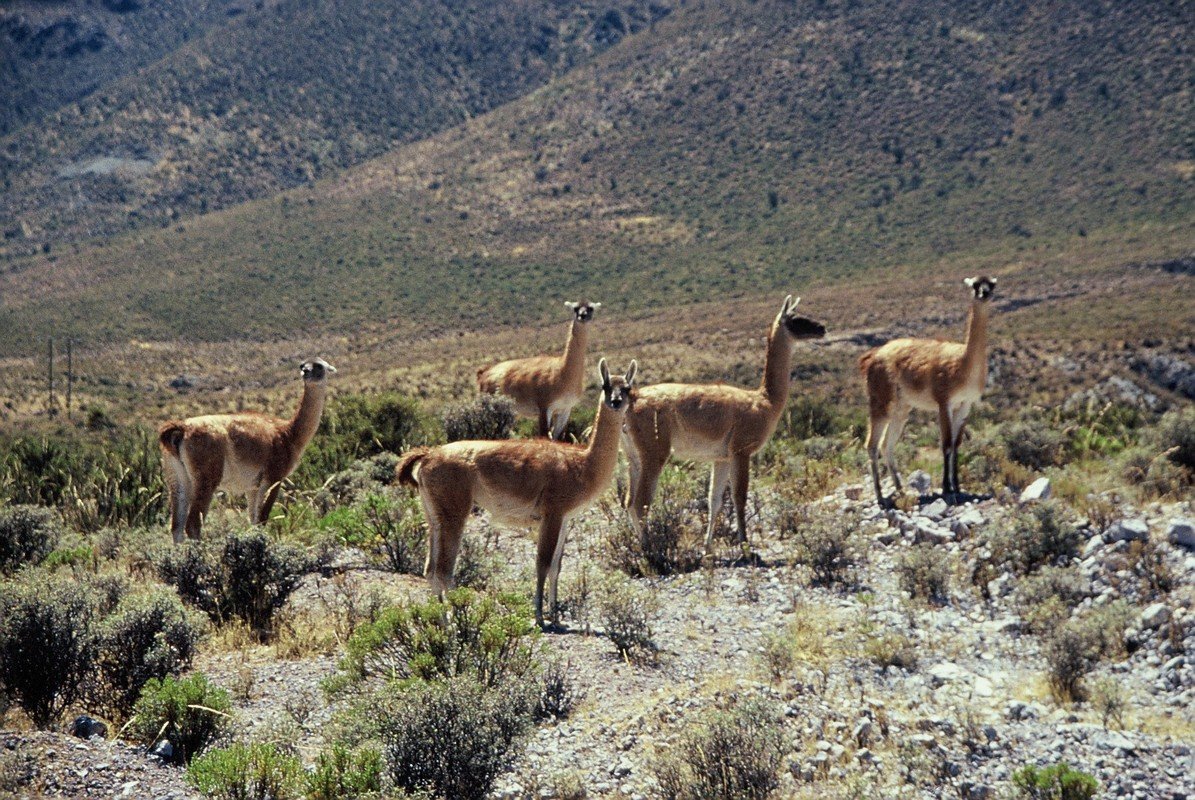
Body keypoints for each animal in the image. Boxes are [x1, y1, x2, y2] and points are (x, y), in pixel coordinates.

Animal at [158, 358, 336, 543]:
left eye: (319, 366)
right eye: (303, 365)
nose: (305, 372)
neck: (289, 433)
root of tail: (181, 429)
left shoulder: (253, 487)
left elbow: (254, 520)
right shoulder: (273, 477)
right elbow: (263, 519)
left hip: (176, 476)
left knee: (176, 526)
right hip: (205, 474)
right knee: (192, 524)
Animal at [398, 358, 636, 629]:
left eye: (627, 388)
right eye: (606, 386)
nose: (615, 401)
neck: (583, 465)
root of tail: (428, 455)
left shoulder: (565, 518)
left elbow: (556, 567)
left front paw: (556, 618)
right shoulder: (552, 512)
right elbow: (542, 564)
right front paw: (540, 617)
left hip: (433, 515)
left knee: (429, 569)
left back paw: (440, 620)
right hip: (453, 510)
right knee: (444, 571)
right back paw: (453, 623)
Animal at [477, 300, 600, 439]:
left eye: (591, 308)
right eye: (575, 308)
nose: (582, 315)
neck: (563, 372)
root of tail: (484, 372)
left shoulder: (565, 410)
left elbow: (558, 438)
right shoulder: (545, 406)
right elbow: (544, 435)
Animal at [622, 296, 826, 553]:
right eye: (797, 319)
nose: (822, 328)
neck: (766, 401)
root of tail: (632, 399)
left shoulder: (722, 457)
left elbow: (714, 500)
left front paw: (707, 547)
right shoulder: (741, 450)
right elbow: (740, 497)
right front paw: (745, 545)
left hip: (632, 455)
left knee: (628, 501)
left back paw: (641, 545)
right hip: (654, 451)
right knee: (640, 503)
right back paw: (651, 549)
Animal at [860, 276, 998, 507]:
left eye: (991, 285)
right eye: (975, 285)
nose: (984, 294)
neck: (964, 365)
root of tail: (873, 355)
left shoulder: (965, 404)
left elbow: (957, 444)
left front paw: (957, 486)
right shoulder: (944, 400)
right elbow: (946, 444)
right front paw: (947, 488)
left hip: (901, 407)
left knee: (887, 445)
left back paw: (900, 489)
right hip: (881, 396)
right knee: (872, 444)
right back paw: (880, 496)